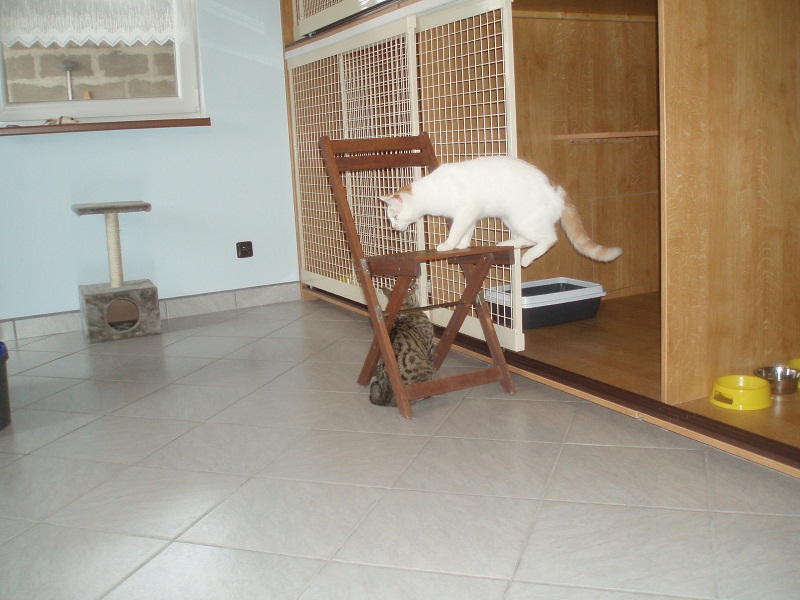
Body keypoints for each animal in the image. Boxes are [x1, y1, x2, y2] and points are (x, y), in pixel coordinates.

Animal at [379, 155, 622, 268]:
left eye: (394, 216)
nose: (393, 227)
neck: (431, 190)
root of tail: (558, 188)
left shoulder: (466, 210)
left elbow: (456, 230)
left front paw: (448, 245)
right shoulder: (471, 215)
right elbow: (466, 232)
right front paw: (463, 246)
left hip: (523, 219)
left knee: (549, 239)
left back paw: (527, 259)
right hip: (510, 220)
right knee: (529, 239)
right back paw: (508, 243)